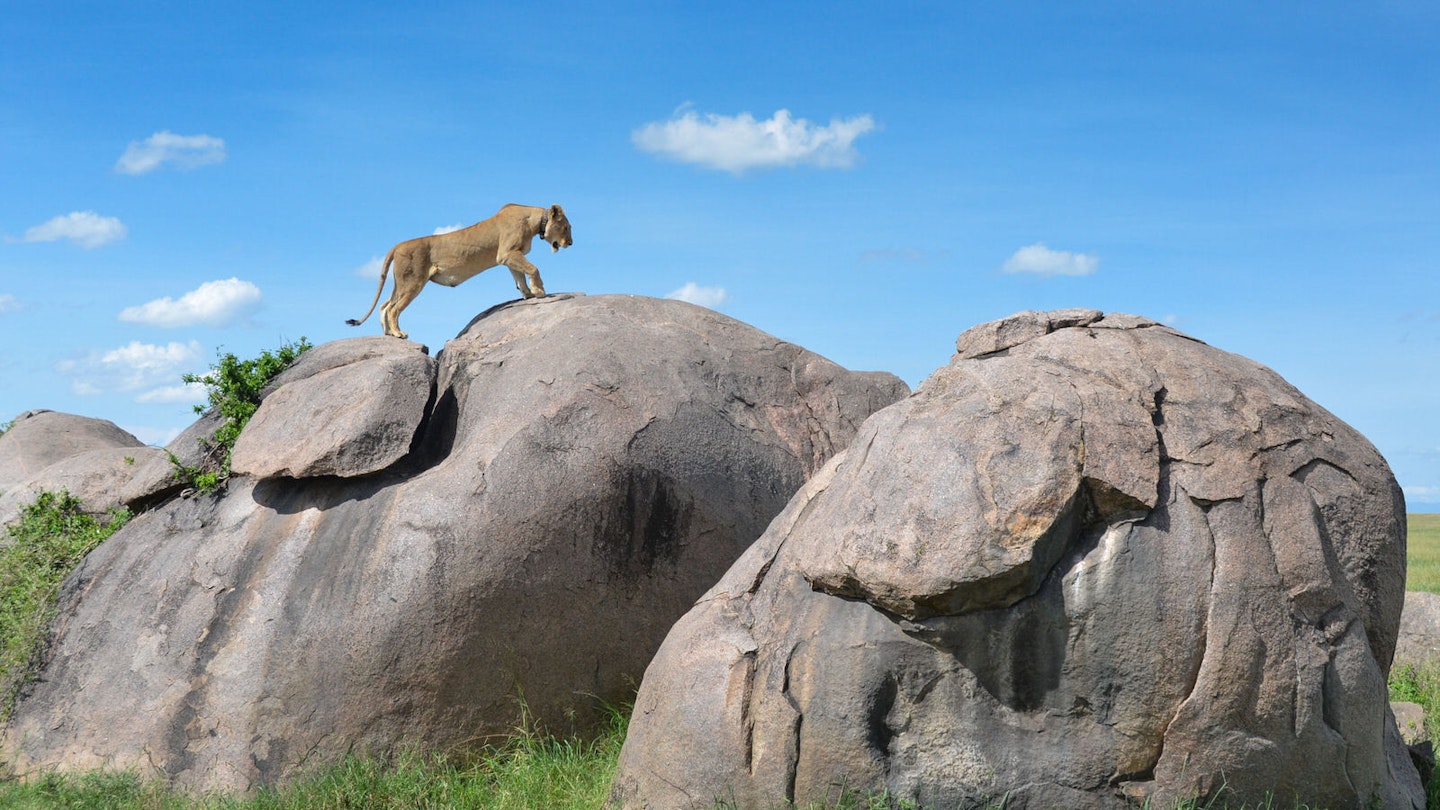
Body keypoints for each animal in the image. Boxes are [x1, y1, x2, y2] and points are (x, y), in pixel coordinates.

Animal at [348, 204, 573, 340]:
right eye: (566, 227)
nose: (570, 243)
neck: (534, 221)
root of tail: (398, 245)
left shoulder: (510, 257)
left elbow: (519, 277)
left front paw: (527, 294)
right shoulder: (507, 253)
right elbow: (533, 268)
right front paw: (539, 291)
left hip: (401, 282)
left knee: (385, 305)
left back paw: (388, 333)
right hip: (413, 281)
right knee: (394, 308)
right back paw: (398, 333)